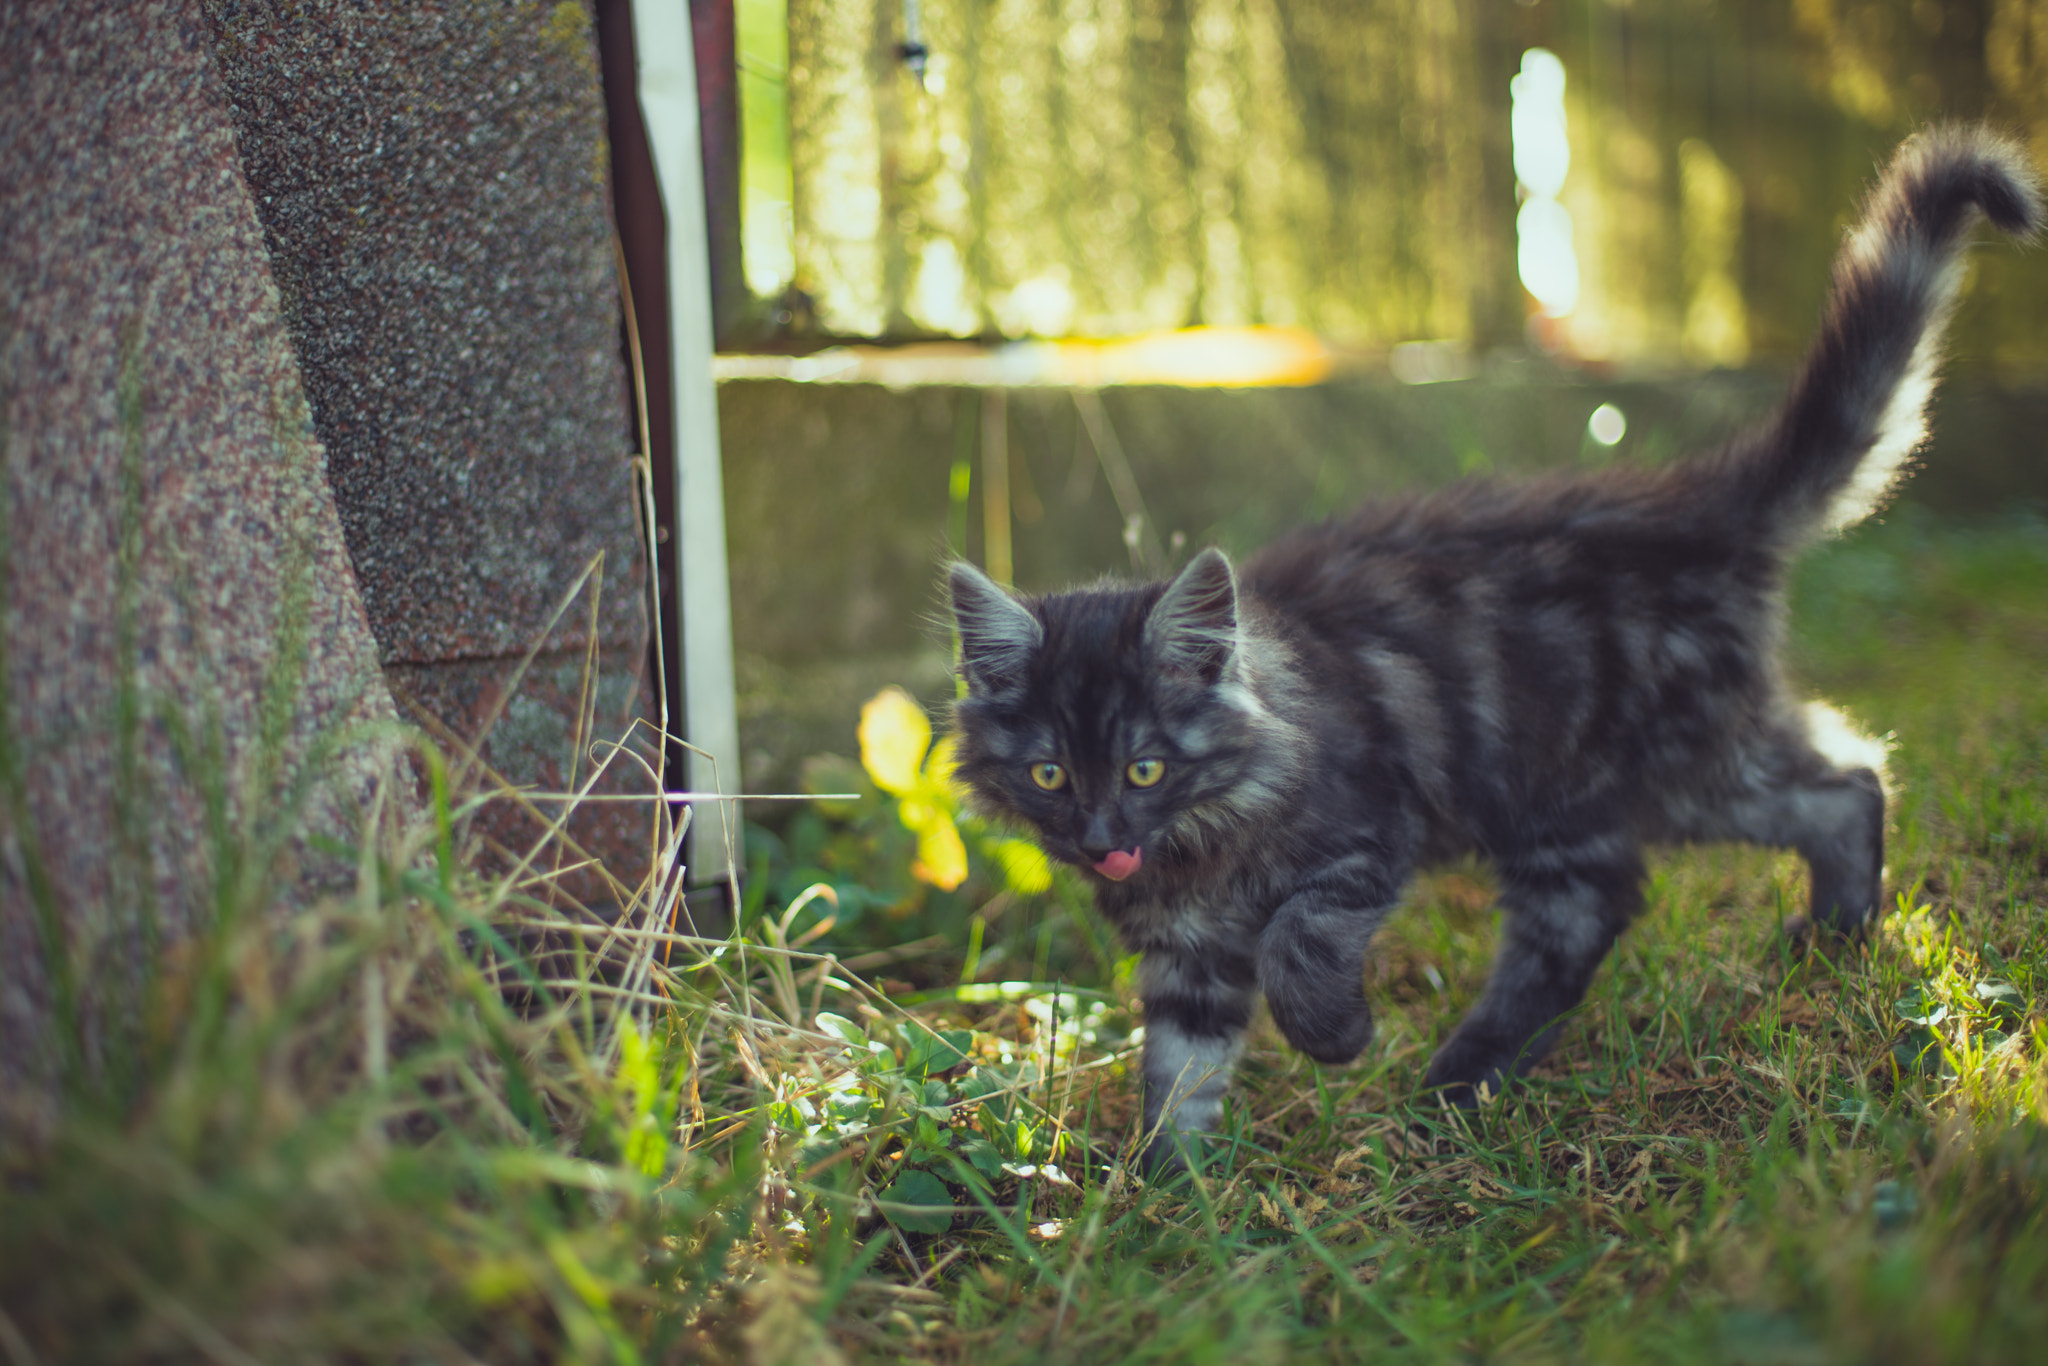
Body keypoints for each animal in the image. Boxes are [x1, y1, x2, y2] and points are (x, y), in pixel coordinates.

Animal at [950, 127, 2039, 1171]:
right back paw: (1485, 1065)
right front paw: (1167, 1190)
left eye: (1146, 766)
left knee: (1842, 781)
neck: (1200, 843)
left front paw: (1335, 1037)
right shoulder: (1187, 956)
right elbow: (1178, 1067)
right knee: (1608, 898)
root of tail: (1695, 506)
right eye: (1050, 774)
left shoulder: (1364, 833)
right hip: (1570, 796)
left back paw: (1828, 939)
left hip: (1654, 763)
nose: (1101, 839)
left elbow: (1298, 939)